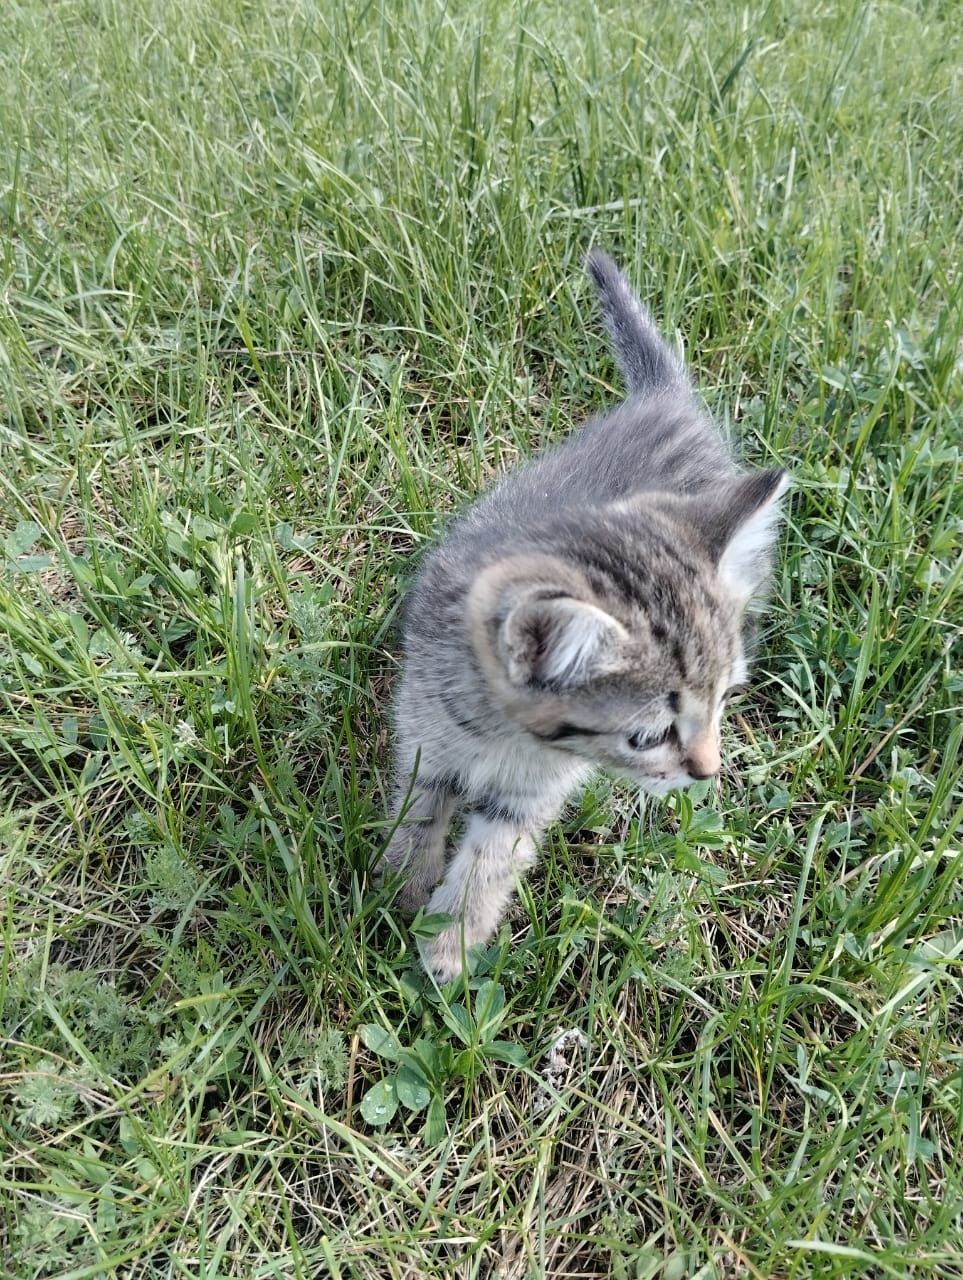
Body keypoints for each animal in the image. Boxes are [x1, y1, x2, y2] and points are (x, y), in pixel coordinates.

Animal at [379, 249, 783, 977]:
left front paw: (450, 944)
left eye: (722, 703)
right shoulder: (425, 735)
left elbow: (491, 860)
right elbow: (418, 810)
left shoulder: (527, 798)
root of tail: (662, 398)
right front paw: (403, 884)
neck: (502, 735)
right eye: (649, 736)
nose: (708, 771)